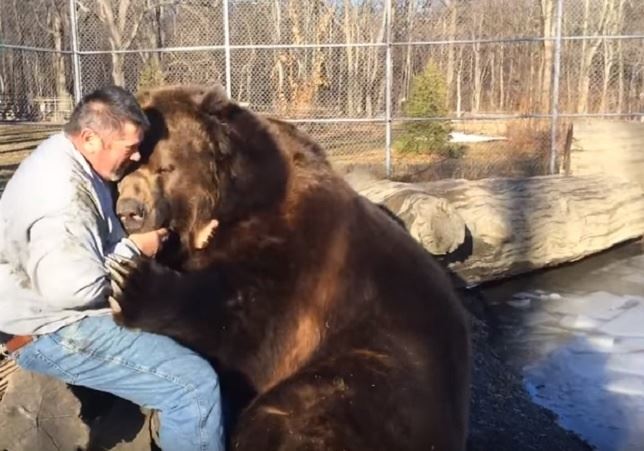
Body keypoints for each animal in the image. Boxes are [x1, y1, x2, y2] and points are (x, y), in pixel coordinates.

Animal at [107, 84, 471, 451]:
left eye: (164, 168)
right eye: (124, 172)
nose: (130, 210)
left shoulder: (296, 262)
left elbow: (245, 325)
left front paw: (132, 282)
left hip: (379, 370)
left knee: (296, 411)